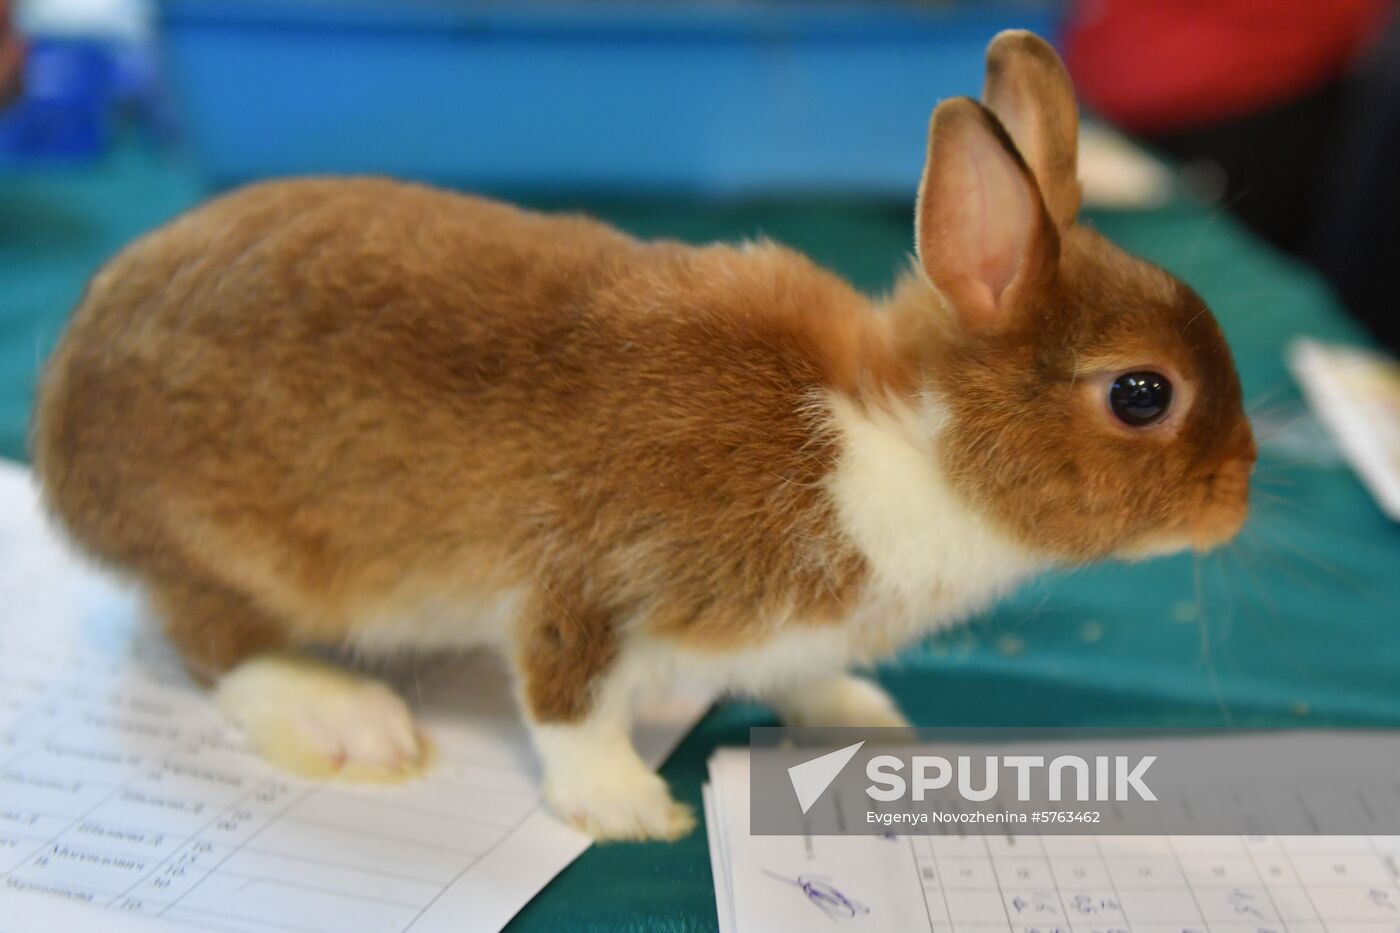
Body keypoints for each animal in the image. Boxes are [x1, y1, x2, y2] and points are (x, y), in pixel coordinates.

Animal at [31, 31, 1255, 841]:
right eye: (1140, 394)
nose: (1239, 495)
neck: (902, 439)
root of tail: (57, 424)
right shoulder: (587, 582)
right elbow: (567, 702)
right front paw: (627, 808)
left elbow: (799, 674)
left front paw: (862, 719)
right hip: (234, 549)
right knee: (207, 643)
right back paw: (348, 719)